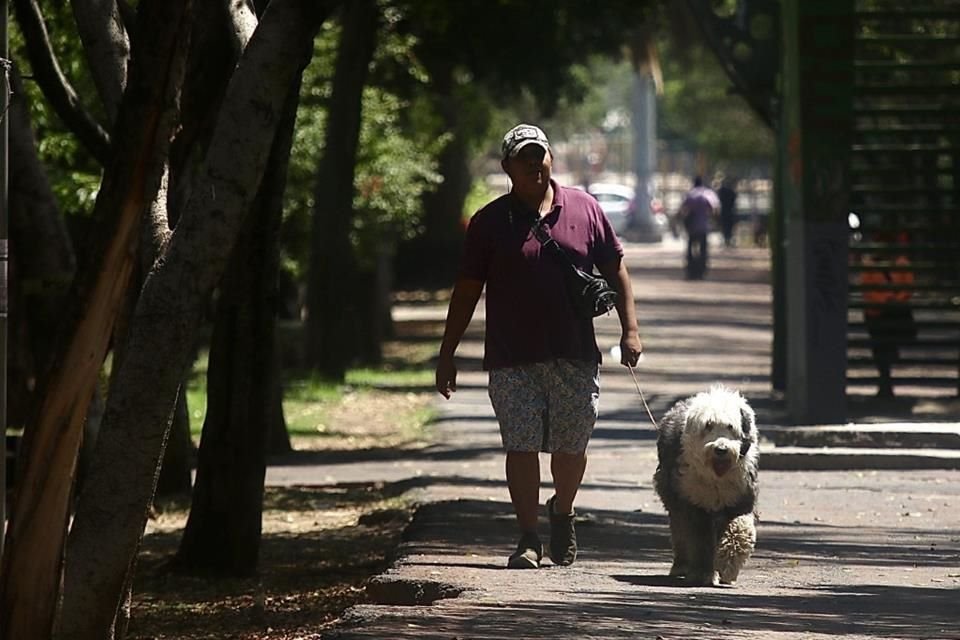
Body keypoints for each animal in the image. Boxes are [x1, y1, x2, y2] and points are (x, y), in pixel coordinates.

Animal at [652, 384, 756, 584]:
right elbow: (700, 541)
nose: (721, 449)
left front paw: (728, 565)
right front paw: (702, 573)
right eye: (708, 426)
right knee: (680, 532)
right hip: (673, 496)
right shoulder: (694, 504)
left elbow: (740, 527)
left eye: (730, 426)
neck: (715, 477)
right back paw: (681, 566)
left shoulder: (739, 499)